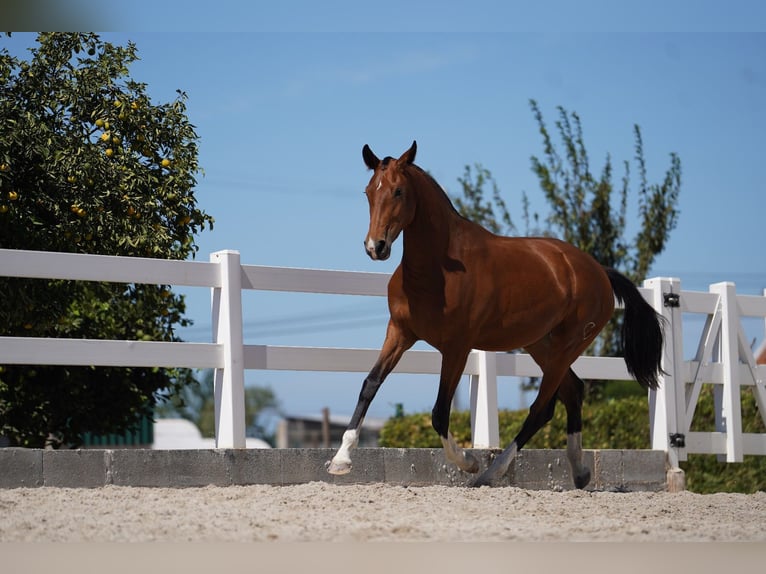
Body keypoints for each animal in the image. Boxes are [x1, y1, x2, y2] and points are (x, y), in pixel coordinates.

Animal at [328, 142, 664, 488]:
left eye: (398, 191)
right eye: (369, 191)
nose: (375, 247)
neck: (437, 270)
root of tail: (599, 272)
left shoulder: (457, 348)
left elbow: (439, 412)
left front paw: (469, 462)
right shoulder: (400, 332)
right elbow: (370, 384)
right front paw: (341, 460)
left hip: (567, 345)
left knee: (541, 408)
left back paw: (490, 472)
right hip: (540, 344)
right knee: (572, 391)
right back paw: (580, 471)